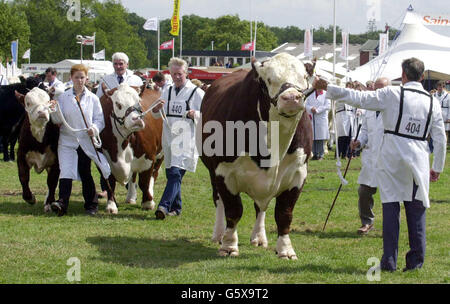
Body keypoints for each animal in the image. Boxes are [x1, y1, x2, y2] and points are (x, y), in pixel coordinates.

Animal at [101, 82, 164, 213]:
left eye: (139, 102)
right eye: (118, 104)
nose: (137, 120)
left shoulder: (149, 157)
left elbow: (144, 182)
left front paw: (148, 203)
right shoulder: (103, 158)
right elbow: (109, 182)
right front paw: (111, 205)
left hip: (162, 154)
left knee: (153, 175)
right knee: (133, 177)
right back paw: (130, 197)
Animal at [200, 52, 312, 258]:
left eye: (305, 77)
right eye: (267, 80)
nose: (292, 97)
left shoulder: (298, 174)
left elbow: (284, 213)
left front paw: (285, 249)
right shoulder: (223, 172)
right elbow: (234, 210)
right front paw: (229, 246)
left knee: (260, 207)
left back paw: (259, 237)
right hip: (211, 171)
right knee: (219, 201)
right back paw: (218, 234)